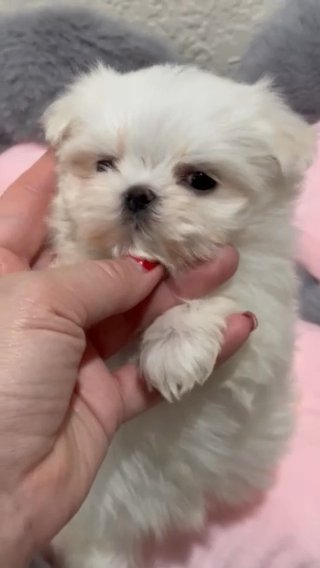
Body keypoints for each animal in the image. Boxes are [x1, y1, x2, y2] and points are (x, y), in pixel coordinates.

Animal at [44, 64, 316, 564]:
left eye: (201, 180)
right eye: (104, 165)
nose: (137, 194)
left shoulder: (265, 308)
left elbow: (238, 295)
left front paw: (175, 349)